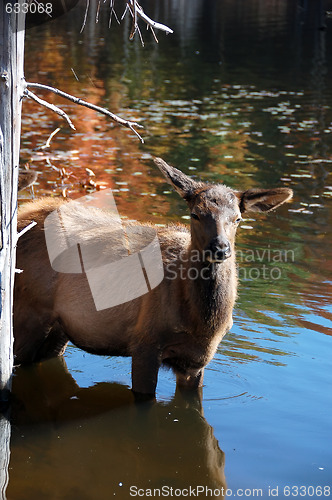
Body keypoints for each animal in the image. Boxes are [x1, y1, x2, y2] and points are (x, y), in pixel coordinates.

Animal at [14, 159, 292, 398]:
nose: (220, 248)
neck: (202, 324)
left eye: (237, 218)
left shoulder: (197, 361)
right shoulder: (145, 342)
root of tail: (22, 215)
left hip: (61, 327)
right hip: (27, 314)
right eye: (195, 214)